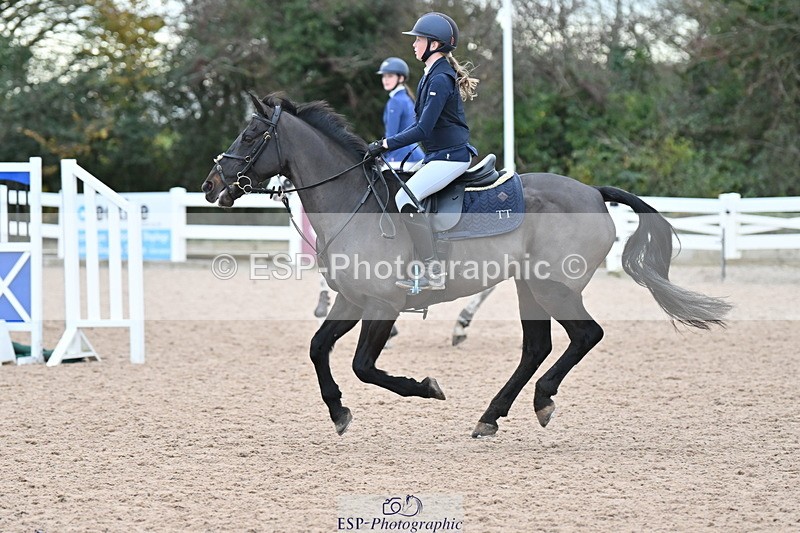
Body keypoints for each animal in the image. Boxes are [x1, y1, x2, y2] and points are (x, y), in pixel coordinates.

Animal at [201, 93, 732, 438]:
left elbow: (364, 365)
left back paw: (539, 399)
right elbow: (318, 350)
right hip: (528, 287)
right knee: (536, 347)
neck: (352, 201)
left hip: (554, 288)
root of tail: (593, 192)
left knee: (585, 335)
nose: (211, 185)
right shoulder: (353, 300)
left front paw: (425, 388)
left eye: (250, 134)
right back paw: (492, 415)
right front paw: (338, 412)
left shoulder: (383, 303)